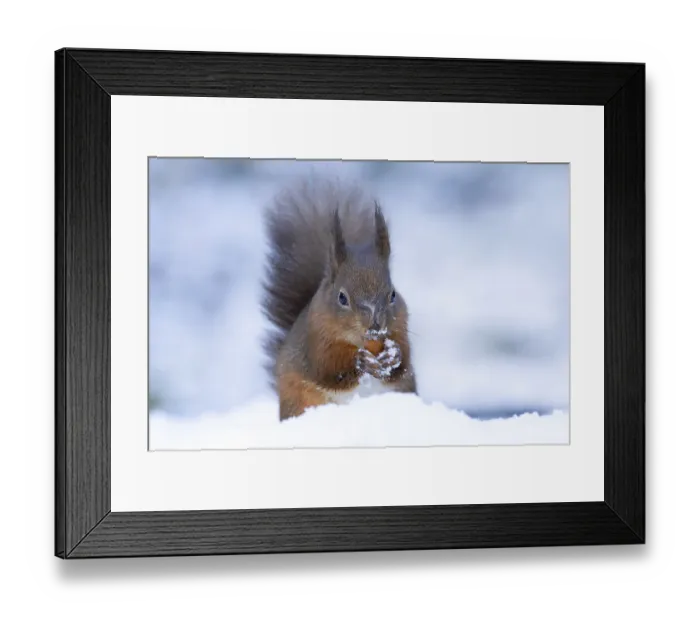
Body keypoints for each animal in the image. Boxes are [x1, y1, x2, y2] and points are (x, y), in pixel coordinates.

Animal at [261, 178, 417, 421]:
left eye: (392, 294)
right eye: (342, 297)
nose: (375, 325)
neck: (368, 343)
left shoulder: (401, 326)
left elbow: (404, 362)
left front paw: (393, 355)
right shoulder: (316, 341)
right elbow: (329, 369)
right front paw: (360, 361)